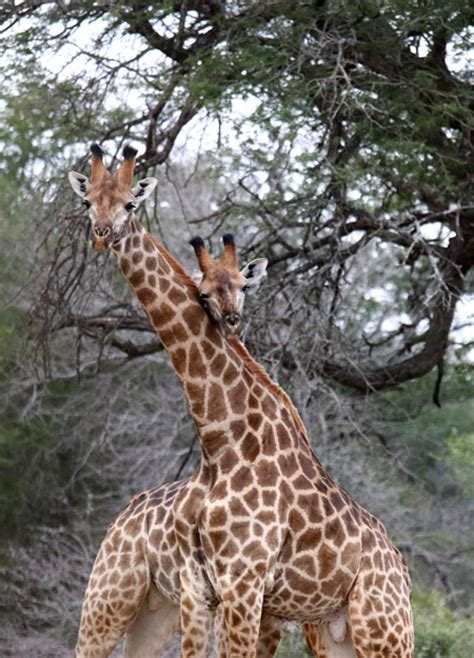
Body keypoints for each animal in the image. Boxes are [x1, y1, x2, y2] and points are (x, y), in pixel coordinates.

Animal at [68, 145, 412, 656]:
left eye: (131, 203)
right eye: (88, 201)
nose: (103, 235)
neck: (222, 441)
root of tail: (403, 573)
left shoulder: (245, 584)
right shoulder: (203, 587)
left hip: (379, 629)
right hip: (129, 598)